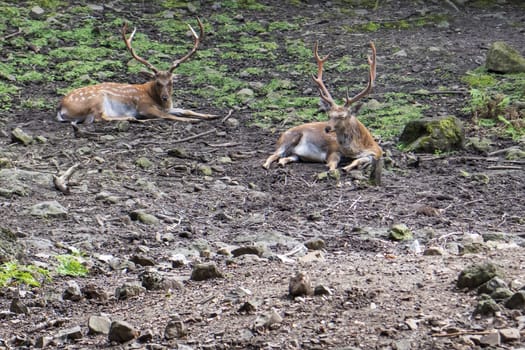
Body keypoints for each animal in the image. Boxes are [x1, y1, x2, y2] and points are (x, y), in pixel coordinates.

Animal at [54, 18, 215, 124]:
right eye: (157, 82)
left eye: (171, 82)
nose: (165, 97)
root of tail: (61, 107)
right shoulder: (144, 107)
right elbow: (170, 116)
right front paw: (192, 120)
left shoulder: (168, 107)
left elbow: (185, 109)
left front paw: (211, 115)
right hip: (96, 100)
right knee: (99, 117)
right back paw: (132, 118)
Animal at [262, 41, 380, 186]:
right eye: (329, 115)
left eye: (342, 116)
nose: (327, 128)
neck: (362, 146)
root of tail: (281, 135)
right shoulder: (333, 150)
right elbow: (332, 166)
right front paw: (340, 174)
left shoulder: (376, 153)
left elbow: (362, 159)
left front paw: (348, 167)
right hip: (288, 139)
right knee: (274, 155)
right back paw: (266, 165)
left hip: (295, 155)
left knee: (285, 158)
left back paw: (282, 164)